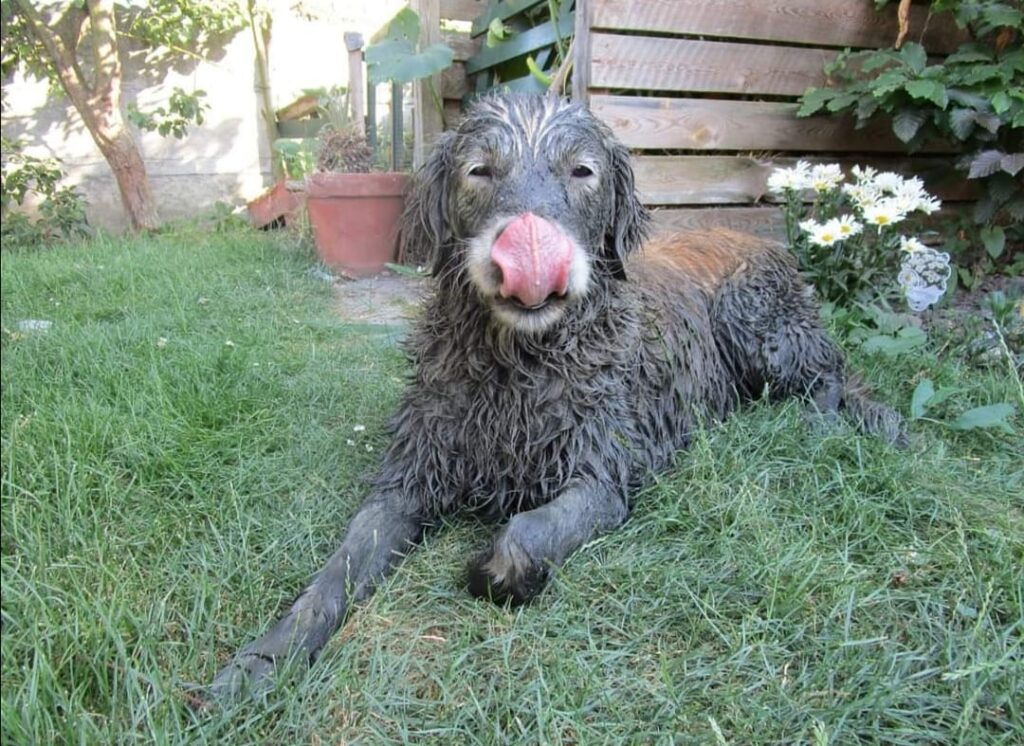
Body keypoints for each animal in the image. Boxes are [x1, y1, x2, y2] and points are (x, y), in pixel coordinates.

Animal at [203, 94, 901, 699]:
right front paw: (263, 660)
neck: (516, 367)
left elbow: (522, 534)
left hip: (755, 323)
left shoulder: (602, 478)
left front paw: (494, 572)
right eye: (480, 170)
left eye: (582, 172)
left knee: (831, 376)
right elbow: (334, 573)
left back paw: (822, 423)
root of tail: (757, 235)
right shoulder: (405, 482)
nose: (531, 251)